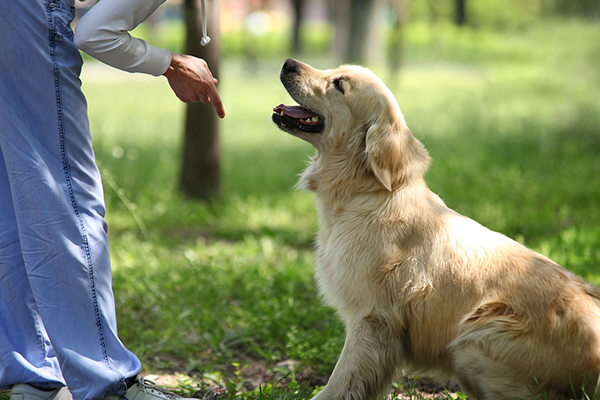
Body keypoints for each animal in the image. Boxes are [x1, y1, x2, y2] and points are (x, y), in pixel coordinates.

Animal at [274, 57, 600, 398]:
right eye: (335, 70)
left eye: (339, 84)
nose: (288, 62)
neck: (367, 192)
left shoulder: (372, 319)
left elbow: (341, 380)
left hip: (475, 337)